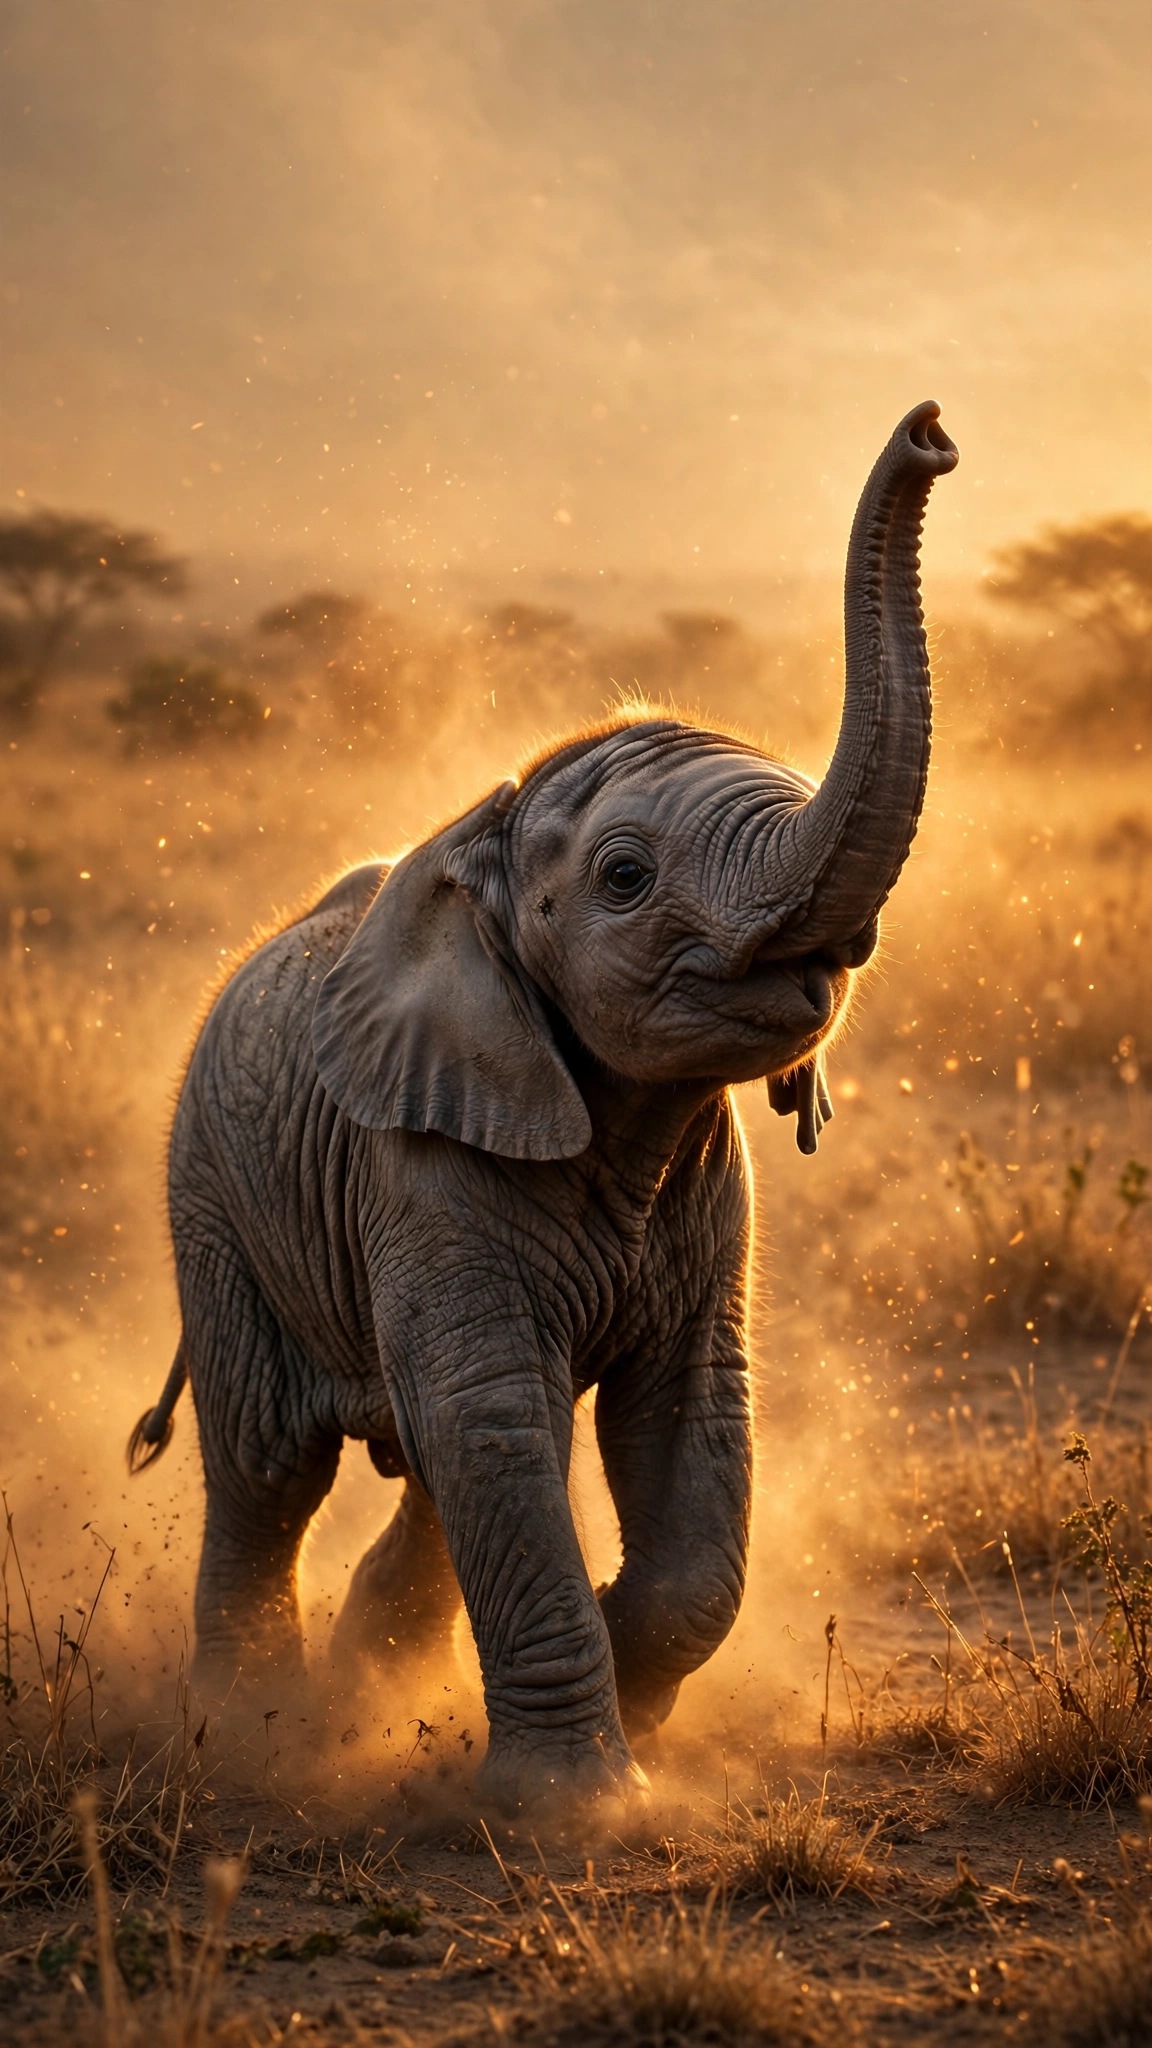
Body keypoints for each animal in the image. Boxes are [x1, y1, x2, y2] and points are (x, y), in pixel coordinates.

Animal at [128, 401, 957, 1823]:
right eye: (624, 879)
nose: (932, 430)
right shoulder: (420, 1159)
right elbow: (493, 1413)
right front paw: (576, 1810)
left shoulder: (709, 1189)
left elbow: (685, 1418)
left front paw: (635, 1673)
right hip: (215, 1199)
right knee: (268, 1463)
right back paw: (257, 1730)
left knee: (420, 1469)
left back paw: (356, 1681)